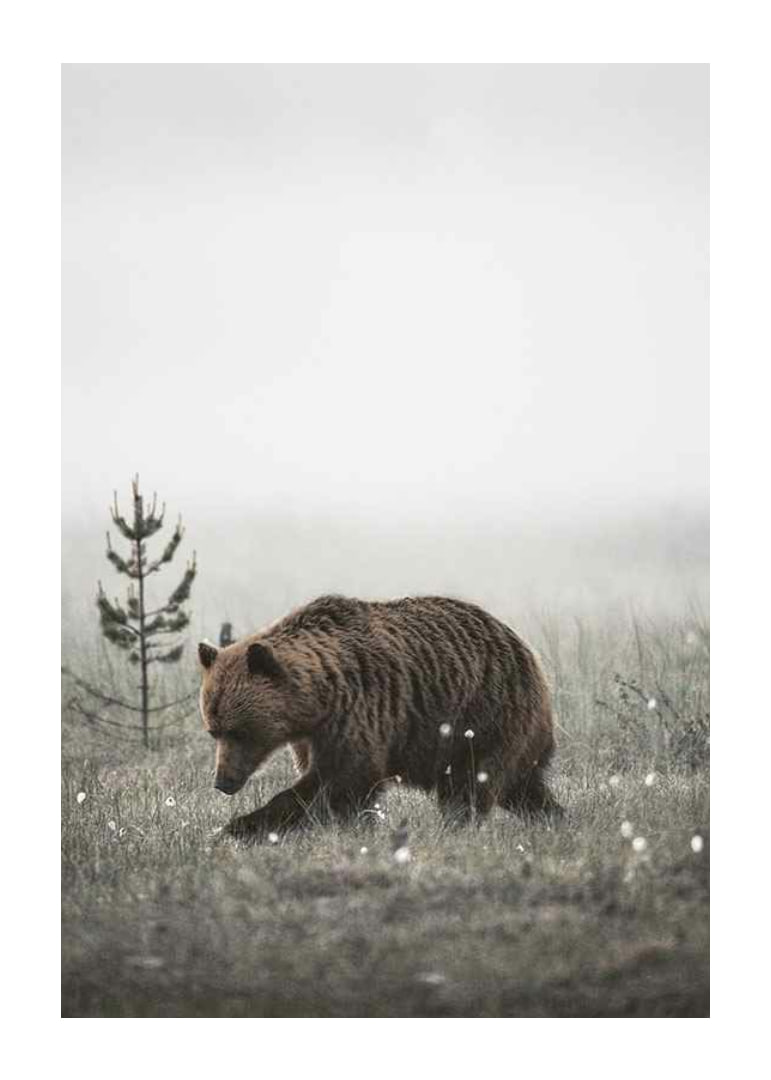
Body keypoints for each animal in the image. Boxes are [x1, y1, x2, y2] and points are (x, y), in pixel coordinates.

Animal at [197, 594, 560, 840]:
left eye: (241, 731)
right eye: (214, 730)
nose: (223, 782)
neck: (316, 702)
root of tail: (528, 651)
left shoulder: (357, 713)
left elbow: (342, 780)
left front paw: (240, 826)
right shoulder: (309, 736)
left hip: (483, 717)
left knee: (471, 783)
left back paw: (456, 828)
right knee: (523, 787)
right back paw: (555, 818)